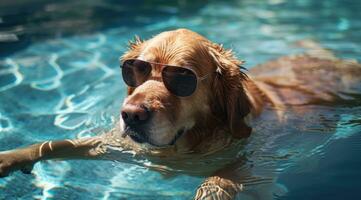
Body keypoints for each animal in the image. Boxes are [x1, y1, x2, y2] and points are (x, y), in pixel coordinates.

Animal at [0, 28, 360, 200]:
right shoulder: (121, 145)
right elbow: (59, 144)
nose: (130, 115)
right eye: (136, 70)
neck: (184, 145)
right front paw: (10, 159)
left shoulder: (250, 163)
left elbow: (217, 180)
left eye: (182, 78)